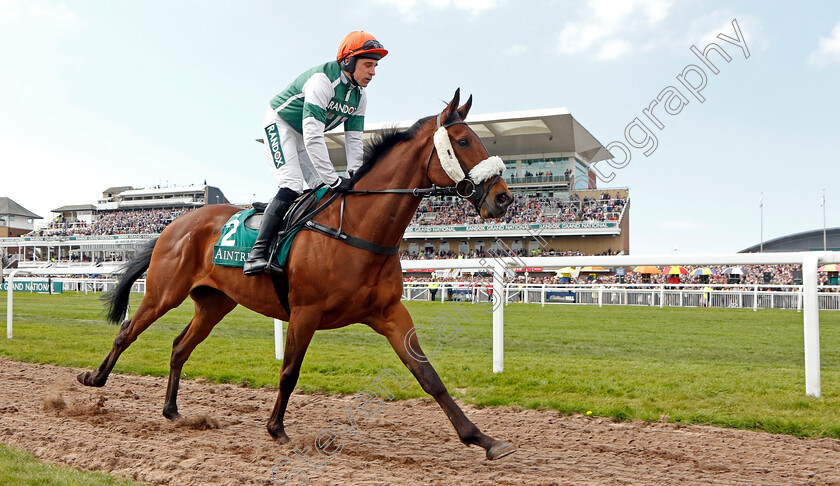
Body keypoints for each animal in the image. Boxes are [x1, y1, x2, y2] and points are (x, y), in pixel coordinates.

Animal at [79, 90, 516, 460]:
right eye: (463, 141)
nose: (503, 198)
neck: (356, 229)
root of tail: (177, 222)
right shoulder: (305, 312)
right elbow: (289, 371)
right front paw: (276, 428)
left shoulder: (391, 312)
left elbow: (427, 374)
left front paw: (483, 438)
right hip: (164, 292)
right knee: (127, 331)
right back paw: (94, 379)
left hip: (215, 303)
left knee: (179, 347)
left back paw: (171, 409)